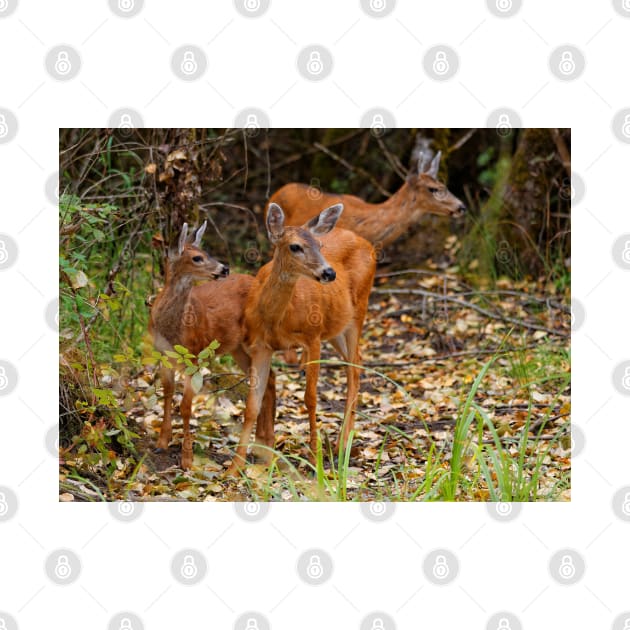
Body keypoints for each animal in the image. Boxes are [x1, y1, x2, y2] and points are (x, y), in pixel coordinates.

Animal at [149, 222, 278, 470]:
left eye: (207, 252)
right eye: (197, 257)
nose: (224, 268)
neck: (175, 327)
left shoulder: (195, 355)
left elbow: (186, 406)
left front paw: (187, 459)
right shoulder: (163, 354)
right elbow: (167, 394)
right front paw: (161, 442)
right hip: (237, 347)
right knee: (271, 378)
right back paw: (264, 444)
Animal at [226, 205, 376, 476]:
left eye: (320, 244)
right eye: (295, 246)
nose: (329, 273)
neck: (278, 319)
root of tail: (366, 242)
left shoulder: (312, 337)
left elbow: (310, 398)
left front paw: (314, 456)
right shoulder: (261, 346)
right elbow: (252, 405)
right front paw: (233, 468)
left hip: (358, 310)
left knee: (354, 368)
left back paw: (341, 445)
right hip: (336, 327)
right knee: (356, 361)